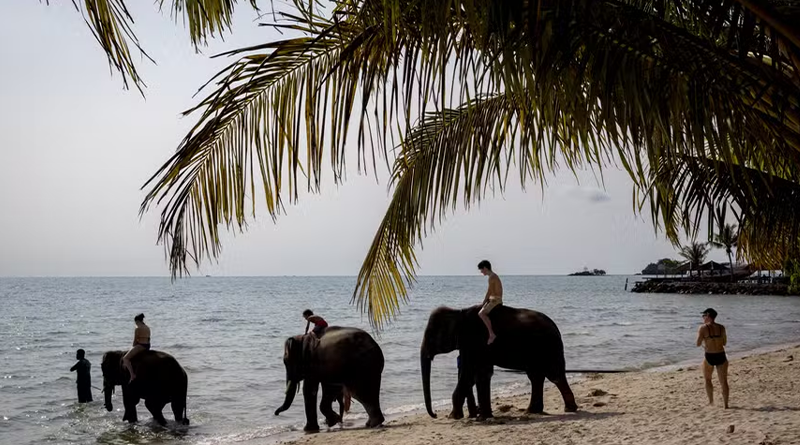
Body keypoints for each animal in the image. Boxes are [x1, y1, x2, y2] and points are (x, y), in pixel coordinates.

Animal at [421, 305, 578, 420]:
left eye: (430, 336)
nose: (435, 415)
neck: (459, 312)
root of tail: (556, 328)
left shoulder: (474, 342)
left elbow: (470, 373)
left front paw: (453, 416)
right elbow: (482, 373)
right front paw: (484, 416)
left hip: (548, 348)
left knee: (554, 375)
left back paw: (568, 409)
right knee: (536, 377)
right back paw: (532, 411)